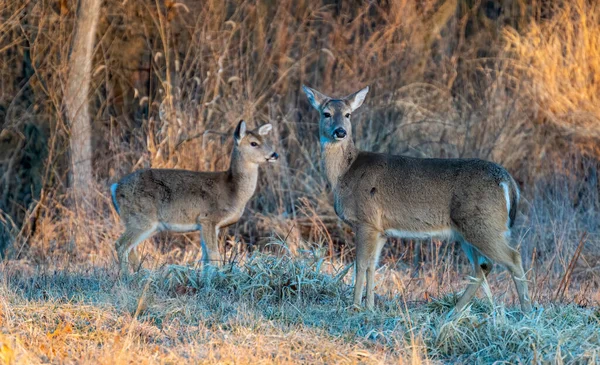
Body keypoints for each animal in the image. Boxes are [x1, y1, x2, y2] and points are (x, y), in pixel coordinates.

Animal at [110, 119, 278, 276]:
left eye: (266, 141)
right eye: (253, 143)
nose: (274, 154)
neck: (232, 190)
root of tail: (115, 188)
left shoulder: (207, 225)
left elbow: (206, 258)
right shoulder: (208, 218)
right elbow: (214, 255)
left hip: (149, 224)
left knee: (132, 249)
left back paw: (141, 275)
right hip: (140, 219)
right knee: (121, 245)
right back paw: (127, 278)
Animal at [302, 85, 532, 312]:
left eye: (348, 114)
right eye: (326, 113)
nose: (340, 131)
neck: (345, 172)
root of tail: (508, 182)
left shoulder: (365, 220)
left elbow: (360, 265)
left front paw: (356, 306)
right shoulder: (381, 229)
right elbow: (372, 266)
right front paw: (370, 307)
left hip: (482, 224)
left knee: (513, 258)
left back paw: (526, 311)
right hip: (467, 232)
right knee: (483, 266)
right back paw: (454, 313)